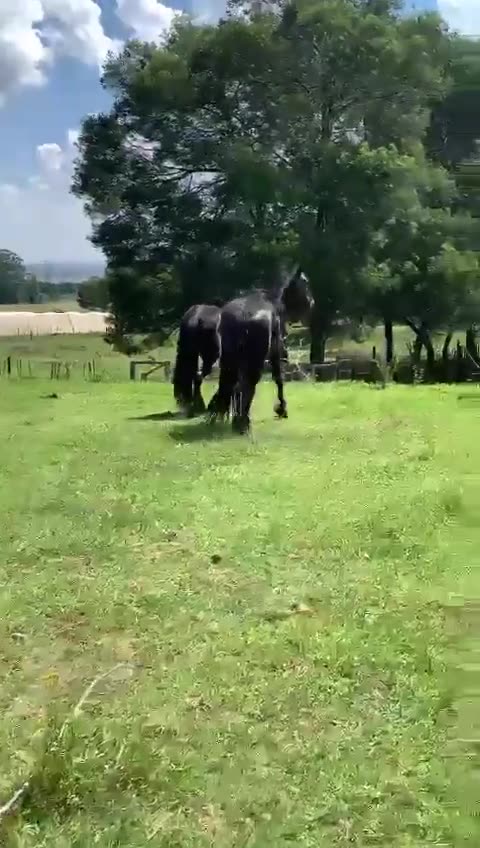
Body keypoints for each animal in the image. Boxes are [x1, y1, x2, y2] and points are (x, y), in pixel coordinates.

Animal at [208, 268, 314, 434]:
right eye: (305, 282)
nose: (312, 302)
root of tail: (241, 318)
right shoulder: (276, 353)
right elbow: (279, 379)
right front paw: (282, 409)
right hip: (254, 362)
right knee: (249, 386)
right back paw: (244, 422)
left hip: (230, 361)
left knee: (233, 385)